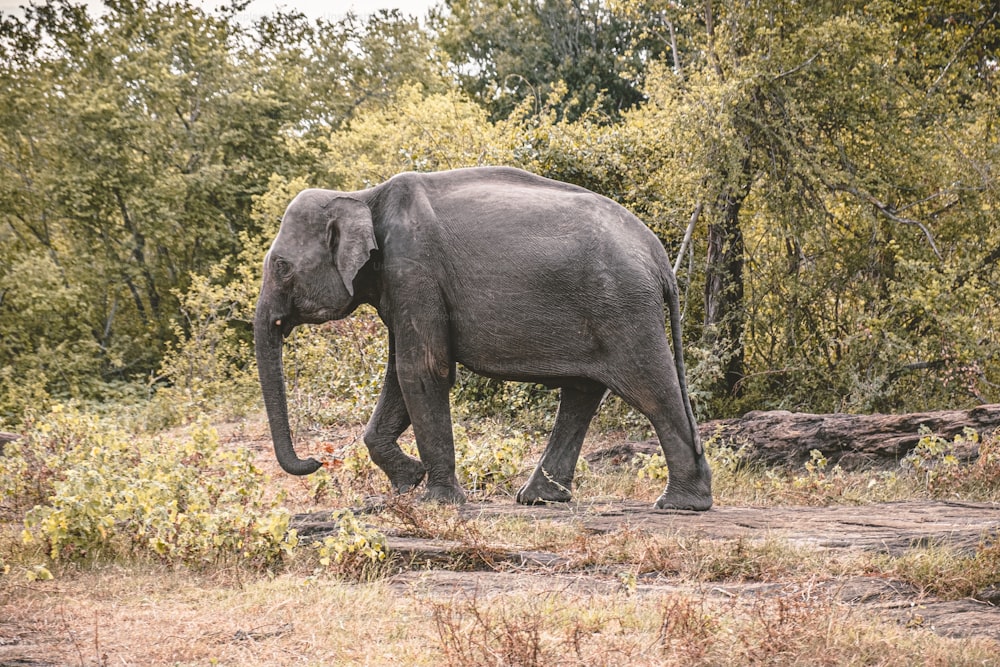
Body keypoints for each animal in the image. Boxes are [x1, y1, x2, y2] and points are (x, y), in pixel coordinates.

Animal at [256, 167, 712, 512]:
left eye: (281, 266)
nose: (317, 459)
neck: (362, 196)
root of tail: (659, 257)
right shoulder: (400, 285)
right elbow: (400, 377)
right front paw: (407, 484)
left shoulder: (414, 270)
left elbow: (422, 371)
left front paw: (437, 502)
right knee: (582, 393)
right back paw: (539, 499)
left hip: (623, 307)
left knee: (650, 387)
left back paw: (680, 504)